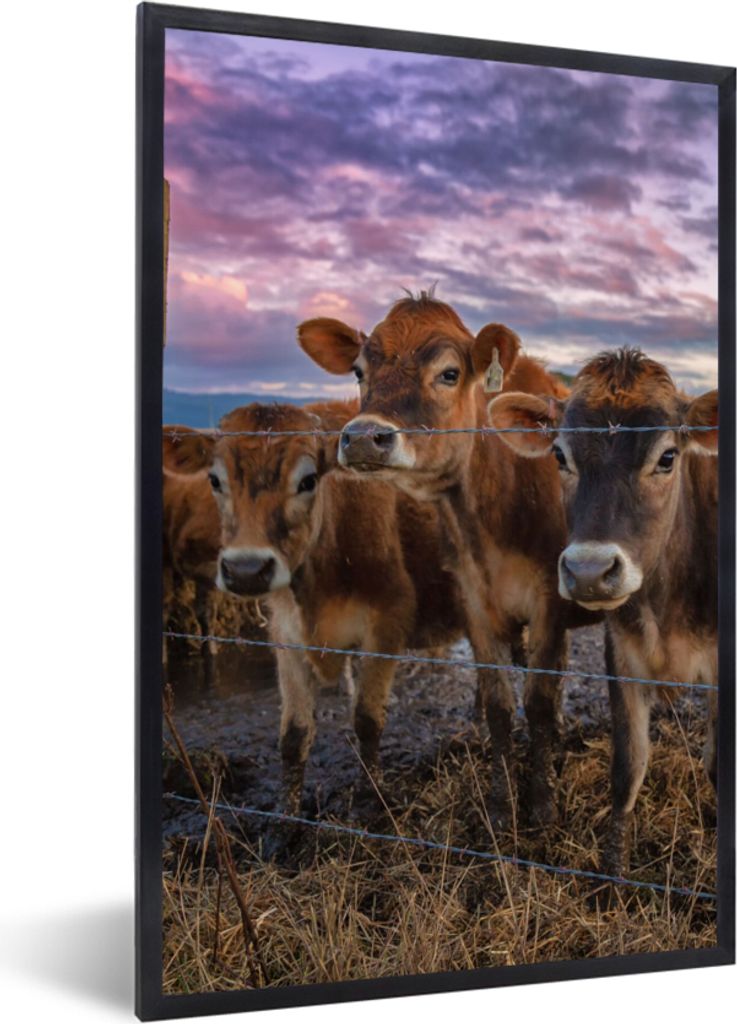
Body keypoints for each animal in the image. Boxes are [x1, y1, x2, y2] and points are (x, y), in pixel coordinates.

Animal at [162, 400, 465, 819]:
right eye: (214, 480)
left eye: (307, 481)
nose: (246, 570)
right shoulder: (285, 634)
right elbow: (293, 735)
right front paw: (287, 819)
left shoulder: (388, 621)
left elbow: (367, 720)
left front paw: (373, 799)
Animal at [298, 292, 596, 829]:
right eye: (358, 371)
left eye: (449, 373)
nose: (363, 437)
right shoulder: (474, 602)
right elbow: (500, 707)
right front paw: (500, 805)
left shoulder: (549, 600)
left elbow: (539, 703)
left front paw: (541, 804)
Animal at [487, 347, 718, 874]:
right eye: (559, 456)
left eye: (668, 457)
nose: (589, 571)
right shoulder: (624, 654)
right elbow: (627, 765)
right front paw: (613, 874)